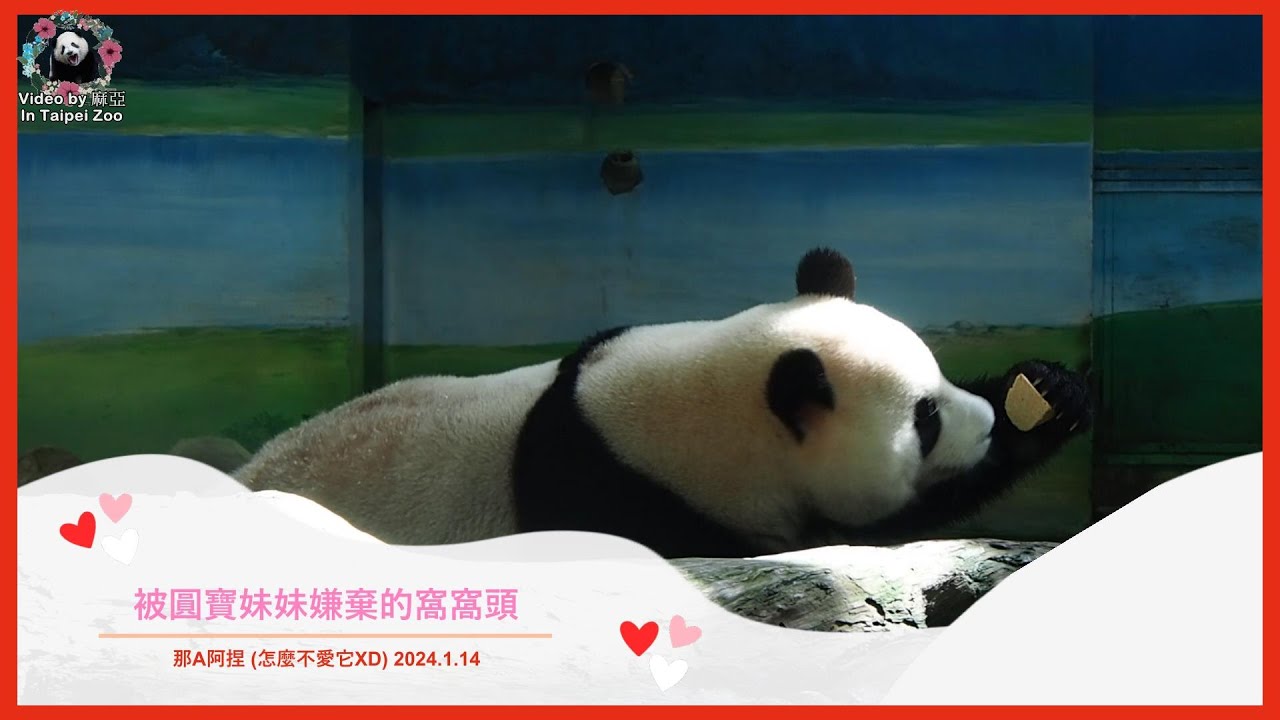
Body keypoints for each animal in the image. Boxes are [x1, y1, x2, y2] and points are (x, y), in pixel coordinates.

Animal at [235, 248, 1092, 558]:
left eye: (940, 382)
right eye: (925, 419)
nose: (984, 425)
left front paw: (1049, 393)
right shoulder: (623, 498)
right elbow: (863, 528)